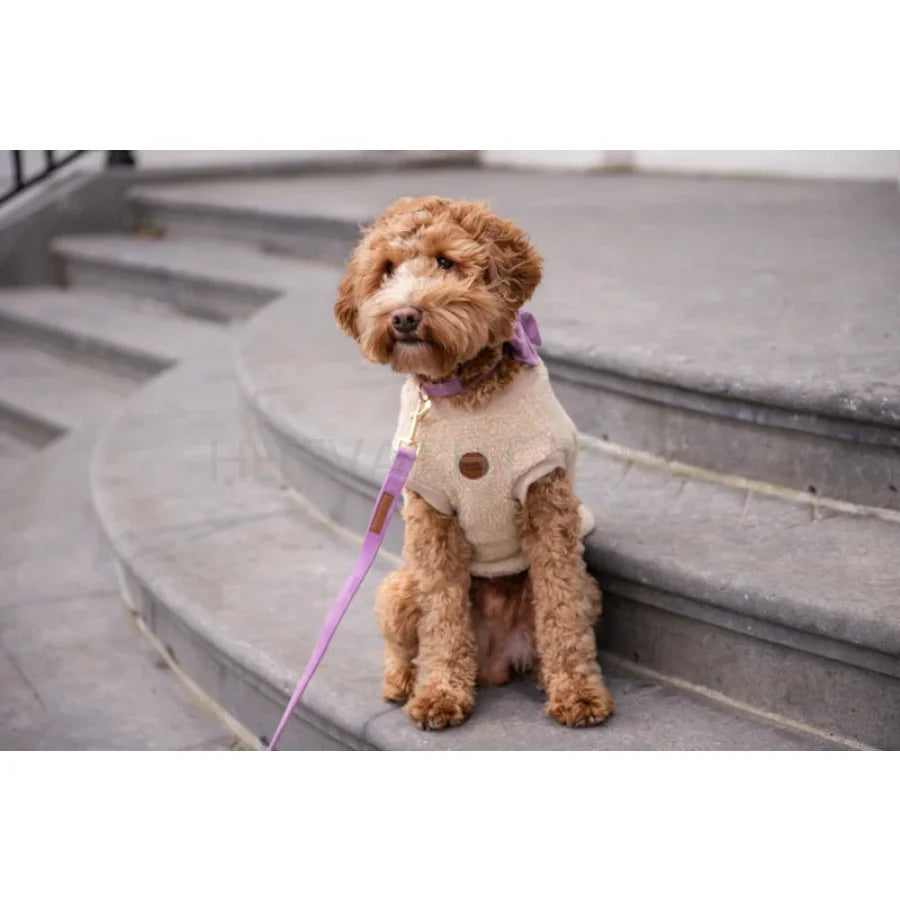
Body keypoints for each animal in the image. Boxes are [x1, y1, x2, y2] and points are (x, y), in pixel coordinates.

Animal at [334, 197, 616, 732]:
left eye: (446, 261)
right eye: (386, 270)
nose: (403, 316)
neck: (464, 391)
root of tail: (493, 662)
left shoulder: (546, 498)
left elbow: (561, 608)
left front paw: (578, 693)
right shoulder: (432, 516)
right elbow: (443, 618)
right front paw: (440, 694)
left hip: (587, 591)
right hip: (399, 588)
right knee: (404, 646)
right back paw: (404, 681)